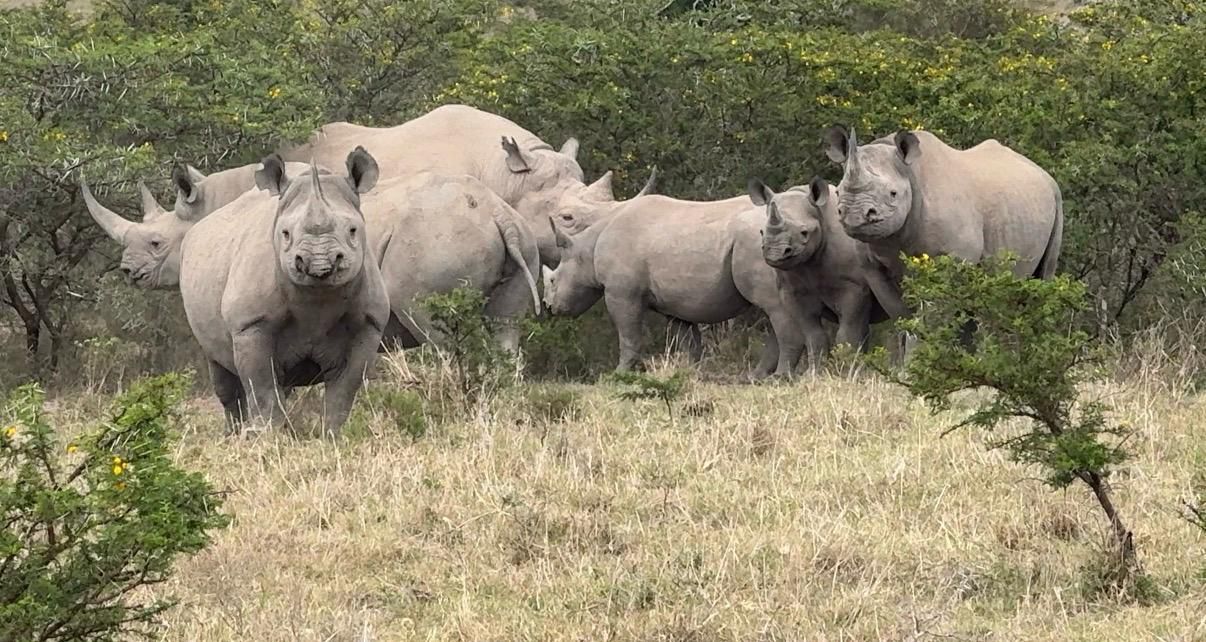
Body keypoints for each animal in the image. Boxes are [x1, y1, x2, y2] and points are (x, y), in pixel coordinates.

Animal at [178, 149, 389, 436]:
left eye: (353, 230)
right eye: (285, 234)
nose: (319, 263)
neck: (318, 300)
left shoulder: (369, 325)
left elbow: (343, 391)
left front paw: (332, 436)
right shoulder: (250, 325)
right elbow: (262, 387)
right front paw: (268, 436)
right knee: (222, 372)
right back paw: (234, 435)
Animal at [541, 194, 830, 377]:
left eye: (553, 280)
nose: (548, 307)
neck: (586, 249)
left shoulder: (621, 293)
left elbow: (628, 333)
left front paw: (619, 373)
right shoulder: (675, 302)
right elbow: (687, 339)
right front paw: (692, 371)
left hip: (763, 247)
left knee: (774, 308)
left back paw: (779, 376)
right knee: (773, 312)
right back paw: (756, 376)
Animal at [749, 176, 895, 352]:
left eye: (804, 232)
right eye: (761, 232)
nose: (775, 253)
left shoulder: (854, 287)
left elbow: (848, 335)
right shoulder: (792, 290)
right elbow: (814, 337)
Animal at [823, 126, 1064, 312]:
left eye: (893, 194)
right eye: (838, 192)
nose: (855, 216)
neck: (911, 173)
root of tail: (1045, 174)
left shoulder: (953, 259)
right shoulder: (872, 267)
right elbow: (901, 315)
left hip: (1056, 199)